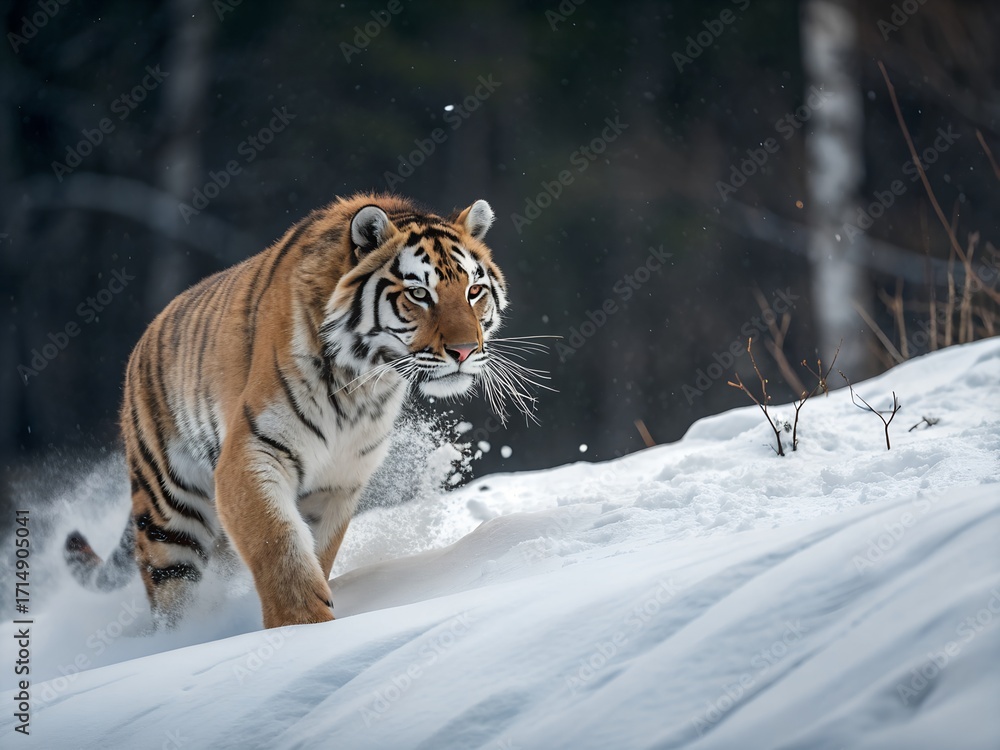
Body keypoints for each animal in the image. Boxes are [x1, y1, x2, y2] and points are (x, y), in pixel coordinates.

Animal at [64, 193, 527, 629]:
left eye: (473, 291)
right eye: (419, 293)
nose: (464, 351)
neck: (364, 382)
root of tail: (144, 339)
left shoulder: (338, 478)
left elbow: (315, 551)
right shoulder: (251, 454)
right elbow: (279, 545)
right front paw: (302, 627)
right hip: (168, 515)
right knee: (171, 598)